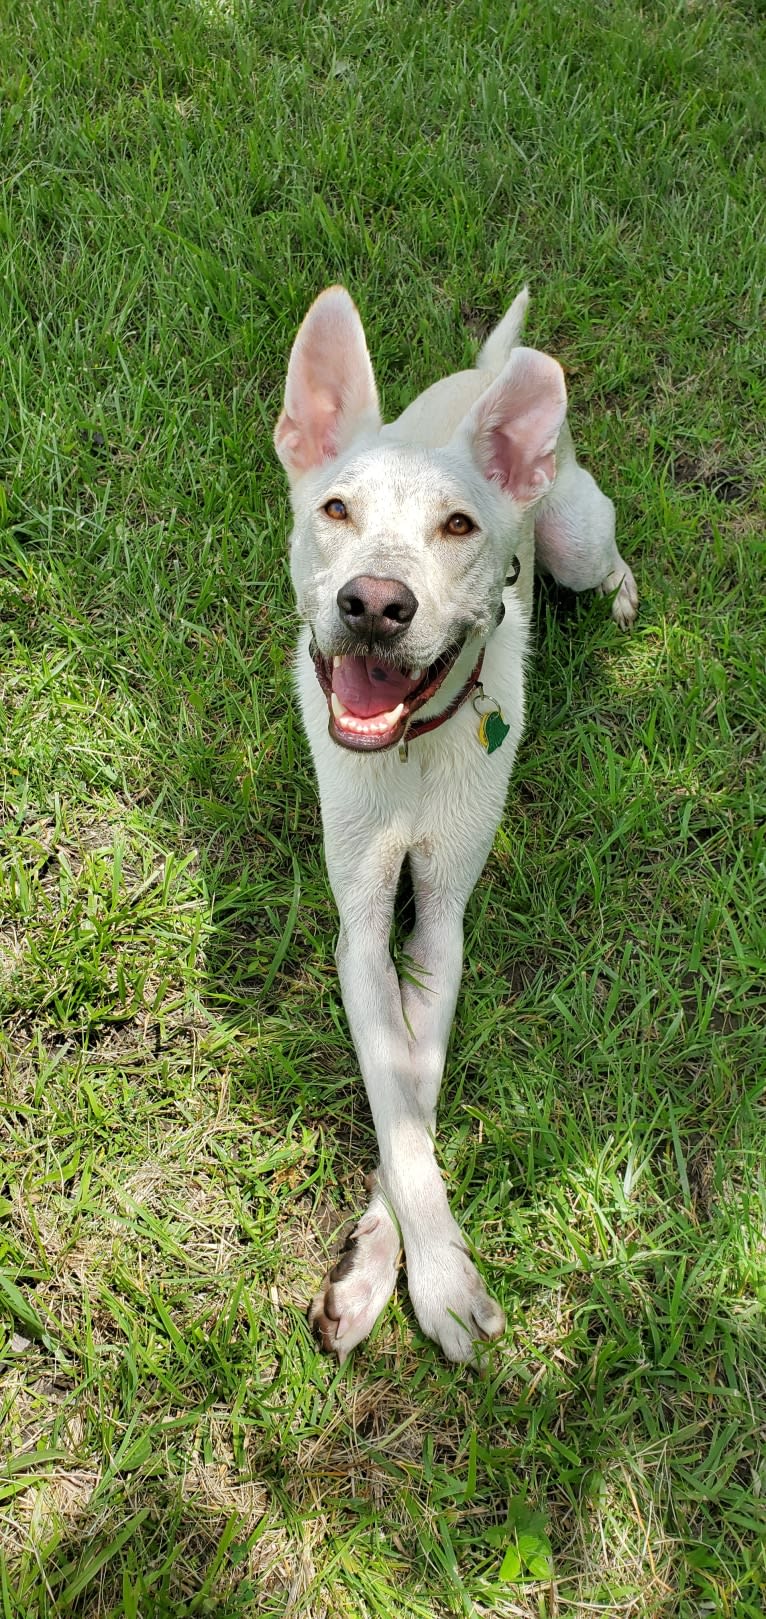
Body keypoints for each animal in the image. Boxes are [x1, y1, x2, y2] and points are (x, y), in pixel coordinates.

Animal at [272, 284, 634, 1359]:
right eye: (335, 508)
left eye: (461, 524)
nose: (374, 604)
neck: (409, 749)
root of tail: (487, 371)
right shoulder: (360, 926)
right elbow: (400, 1107)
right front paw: (392, 1271)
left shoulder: (440, 921)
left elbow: (415, 1099)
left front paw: (415, 1272)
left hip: (574, 537)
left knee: (609, 559)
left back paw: (624, 595)